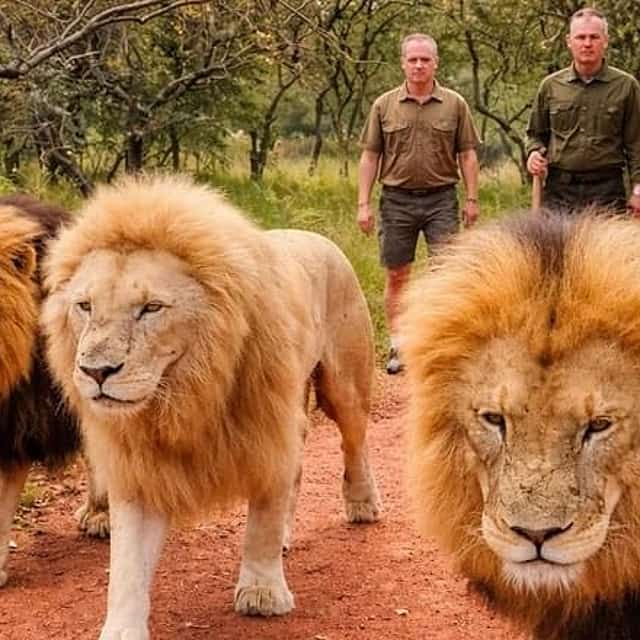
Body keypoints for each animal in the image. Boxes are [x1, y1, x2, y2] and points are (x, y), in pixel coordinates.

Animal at [41, 174, 381, 639]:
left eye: (151, 308)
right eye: (85, 306)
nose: (96, 371)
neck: (184, 394)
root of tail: (318, 237)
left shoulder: (267, 428)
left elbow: (262, 521)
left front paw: (261, 593)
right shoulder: (139, 465)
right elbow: (126, 565)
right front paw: (121, 628)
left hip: (344, 383)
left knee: (354, 443)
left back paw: (363, 505)